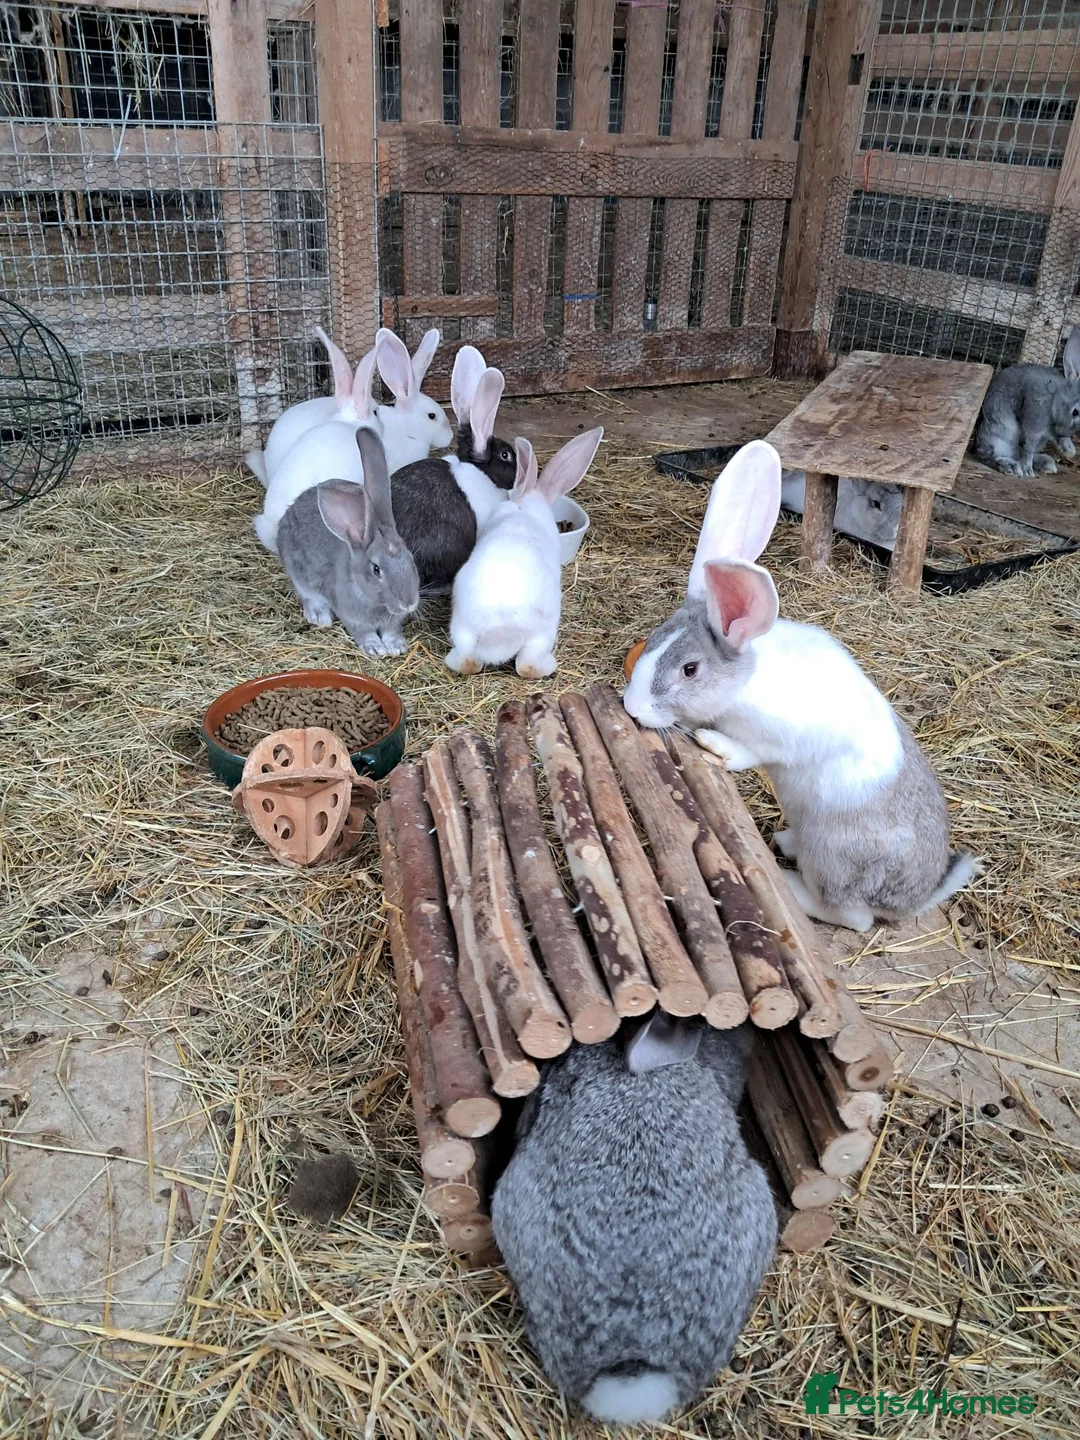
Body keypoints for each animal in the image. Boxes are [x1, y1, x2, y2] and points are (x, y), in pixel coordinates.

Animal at [275, 426, 419, 656]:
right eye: (376, 569)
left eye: (411, 560)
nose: (409, 603)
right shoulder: (352, 618)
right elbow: (364, 633)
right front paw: (375, 648)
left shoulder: (392, 623)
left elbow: (391, 631)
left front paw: (396, 646)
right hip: (298, 575)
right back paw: (320, 617)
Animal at [445, 428, 603, 678]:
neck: (524, 506)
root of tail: (502, 629)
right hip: (543, 633)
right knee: (527, 666)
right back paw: (549, 665)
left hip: (462, 628)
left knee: (468, 661)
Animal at [622, 440, 976, 933]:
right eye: (651, 642)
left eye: (690, 670)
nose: (633, 707)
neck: (744, 681)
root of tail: (912, 900)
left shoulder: (781, 739)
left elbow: (752, 752)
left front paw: (714, 745)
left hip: (834, 859)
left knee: (852, 916)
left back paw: (792, 883)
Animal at [975, 327, 1080, 476]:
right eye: (1075, 412)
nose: (1065, 433)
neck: (1055, 397)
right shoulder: (1035, 417)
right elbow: (1029, 444)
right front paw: (1027, 469)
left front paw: (1069, 450)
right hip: (1001, 434)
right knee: (990, 455)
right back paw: (1011, 466)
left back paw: (1046, 463)